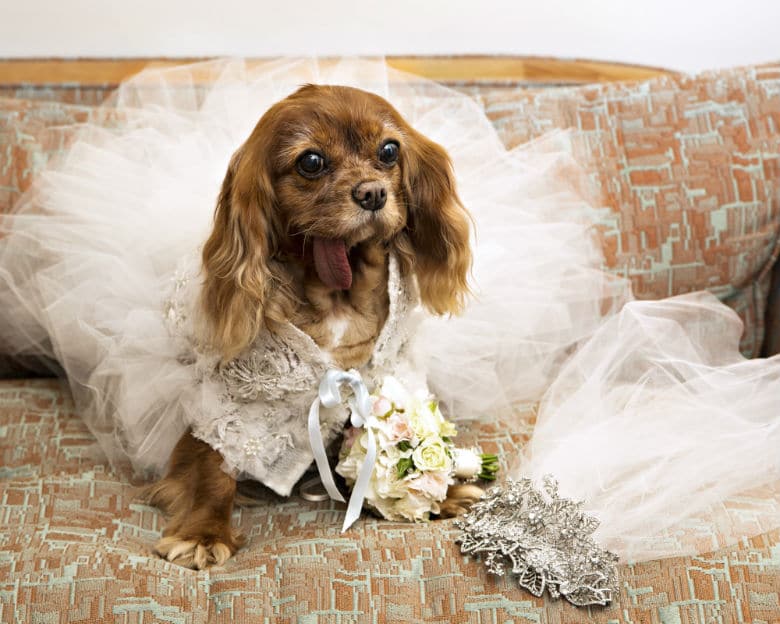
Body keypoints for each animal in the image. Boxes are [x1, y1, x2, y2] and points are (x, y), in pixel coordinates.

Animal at [143, 84, 478, 572]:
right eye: (311, 162)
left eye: (389, 151)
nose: (373, 193)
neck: (338, 295)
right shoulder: (224, 405)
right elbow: (213, 469)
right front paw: (203, 532)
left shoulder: (382, 377)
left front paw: (442, 491)